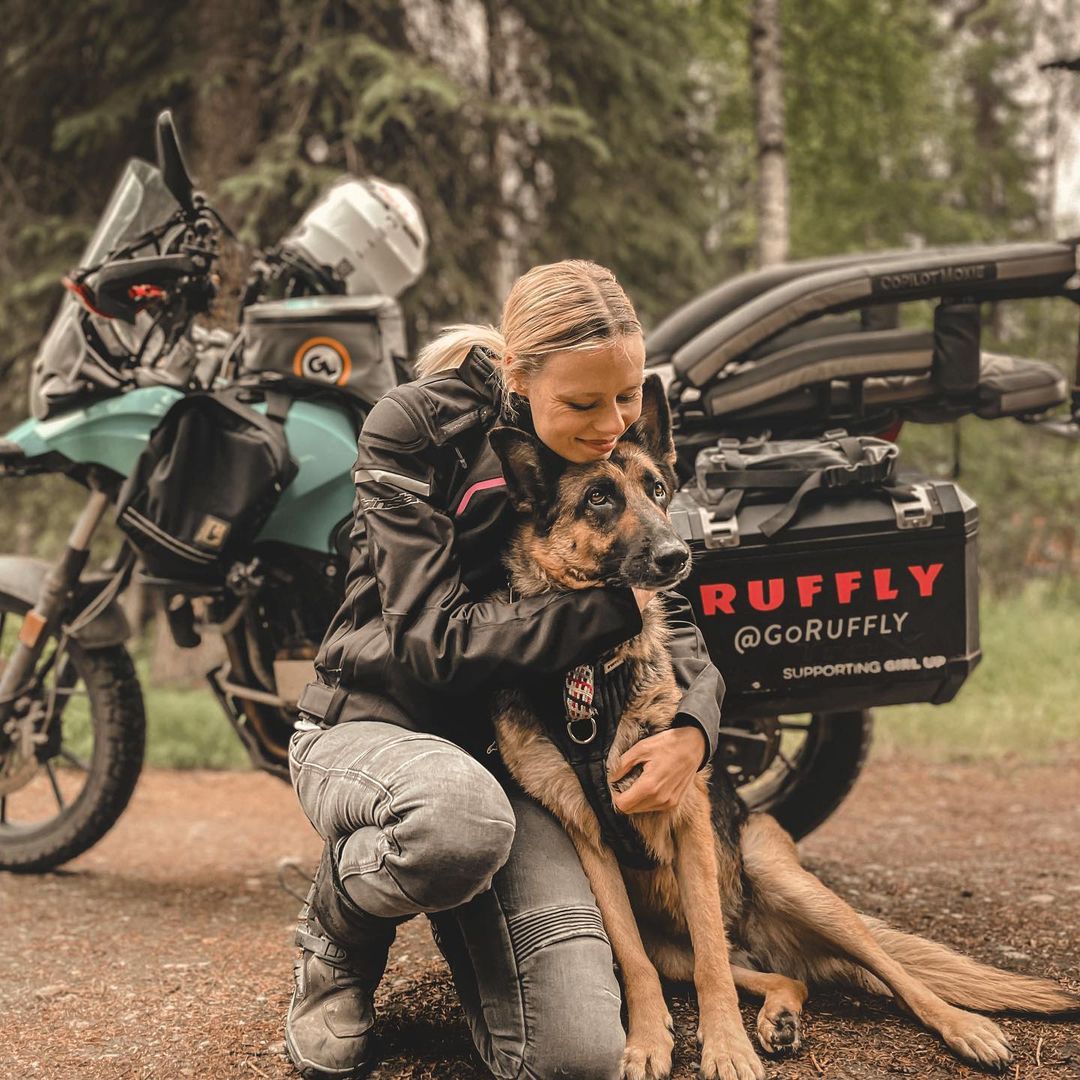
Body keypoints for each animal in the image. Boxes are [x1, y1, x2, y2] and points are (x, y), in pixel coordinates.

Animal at [490, 373, 1080, 1080]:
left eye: (658, 490)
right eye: (599, 499)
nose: (677, 554)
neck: (594, 670)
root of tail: (765, 933)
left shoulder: (686, 821)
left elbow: (715, 970)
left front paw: (725, 1047)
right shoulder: (593, 847)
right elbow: (632, 961)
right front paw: (648, 1040)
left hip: (791, 885)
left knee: (884, 968)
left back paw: (963, 1027)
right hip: (678, 944)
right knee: (777, 975)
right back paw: (780, 1017)